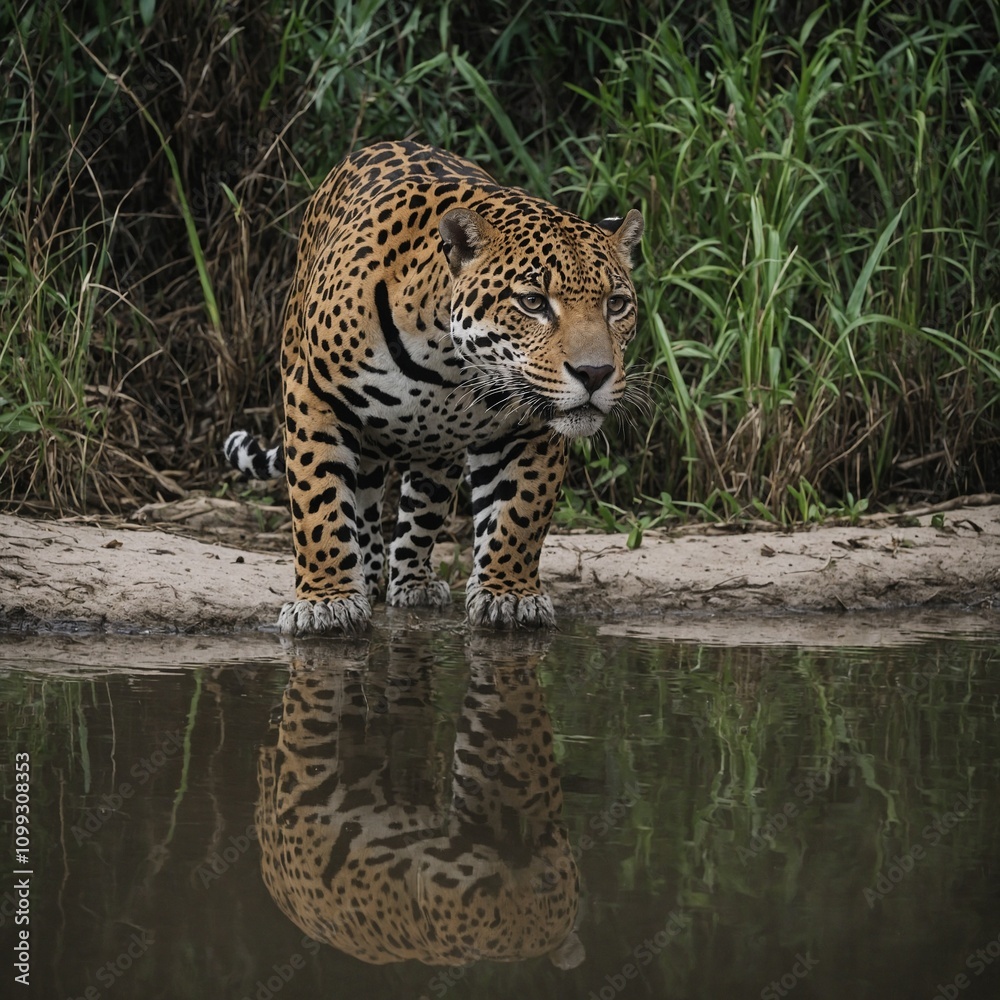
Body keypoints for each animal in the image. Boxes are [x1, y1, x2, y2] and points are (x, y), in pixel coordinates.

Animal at [225, 140, 643, 634]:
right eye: (533, 302)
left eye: (616, 305)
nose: (595, 374)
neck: (449, 363)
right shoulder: (314, 397)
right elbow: (318, 504)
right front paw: (327, 601)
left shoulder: (531, 426)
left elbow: (520, 513)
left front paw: (509, 595)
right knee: (363, 501)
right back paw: (367, 573)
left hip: (438, 447)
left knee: (422, 508)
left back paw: (415, 582)